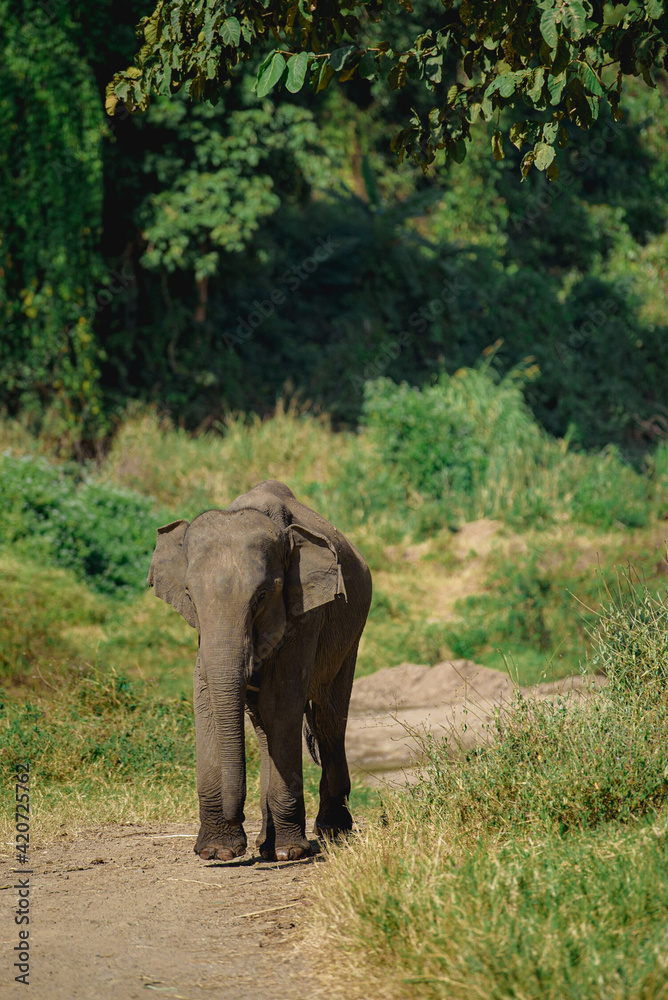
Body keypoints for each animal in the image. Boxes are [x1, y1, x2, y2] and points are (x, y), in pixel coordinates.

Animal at [148, 479, 372, 862]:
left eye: (263, 596)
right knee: (265, 727)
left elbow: (281, 701)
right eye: (189, 596)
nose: (234, 815)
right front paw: (217, 852)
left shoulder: (305, 611)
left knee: (328, 718)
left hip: (351, 631)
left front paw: (290, 853)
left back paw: (330, 832)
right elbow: (208, 698)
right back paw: (267, 844)